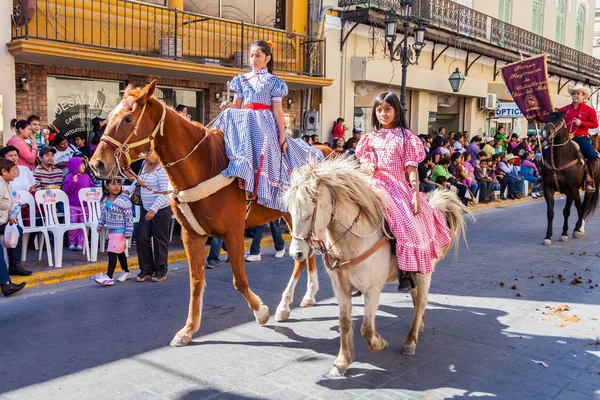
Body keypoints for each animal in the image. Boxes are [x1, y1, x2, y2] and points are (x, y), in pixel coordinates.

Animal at [91, 80, 330, 344]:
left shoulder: (233, 233)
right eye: (109, 117)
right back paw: (308, 296)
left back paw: (285, 306)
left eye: (128, 119)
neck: (204, 165)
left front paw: (261, 311)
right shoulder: (191, 234)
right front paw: (188, 329)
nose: (97, 163)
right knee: (307, 253)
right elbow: (196, 281)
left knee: (302, 256)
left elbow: (239, 279)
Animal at [284, 158, 472, 376]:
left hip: (424, 272)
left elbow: (366, 328)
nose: (297, 253)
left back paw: (410, 341)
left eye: (312, 203)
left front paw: (380, 343)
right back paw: (419, 328)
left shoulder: (372, 288)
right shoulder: (340, 288)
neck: (351, 241)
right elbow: (344, 322)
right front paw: (342, 361)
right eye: (290, 211)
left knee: (421, 302)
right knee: (417, 300)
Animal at [540, 111, 596, 245]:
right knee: (579, 205)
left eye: (559, 120)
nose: (545, 134)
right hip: (576, 190)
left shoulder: (571, 189)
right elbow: (550, 213)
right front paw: (548, 236)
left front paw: (564, 234)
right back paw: (578, 228)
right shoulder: (548, 189)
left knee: (584, 205)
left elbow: (566, 211)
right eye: (547, 119)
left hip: (586, 189)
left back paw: (577, 228)